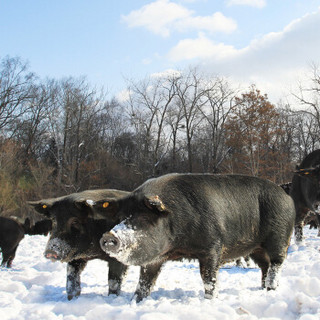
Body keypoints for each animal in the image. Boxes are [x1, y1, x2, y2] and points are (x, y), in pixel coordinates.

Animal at [92, 174, 296, 302]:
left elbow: (208, 279)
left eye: (142, 217)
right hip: (255, 248)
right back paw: (263, 289)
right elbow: (144, 283)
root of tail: (286, 195)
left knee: (276, 264)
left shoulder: (213, 247)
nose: (109, 236)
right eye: (120, 218)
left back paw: (270, 289)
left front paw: (210, 301)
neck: (178, 245)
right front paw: (135, 302)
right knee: (264, 266)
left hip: (279, 237)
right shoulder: (155, 259)